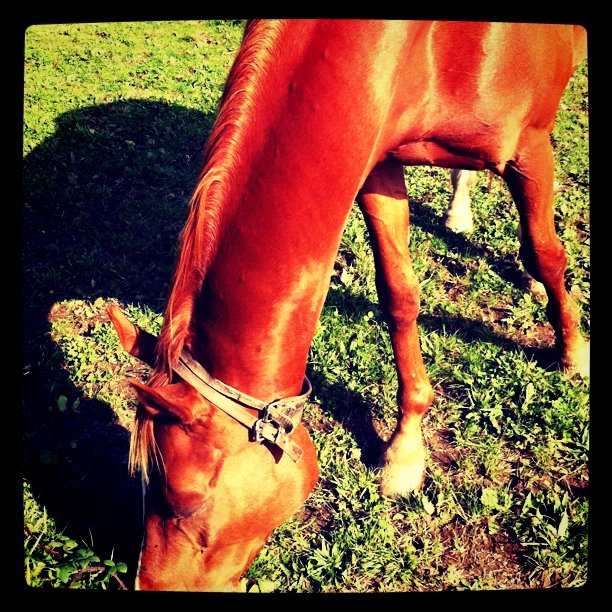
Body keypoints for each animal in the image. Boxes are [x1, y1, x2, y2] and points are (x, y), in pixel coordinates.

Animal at [107, 19, 589, 591]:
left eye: (185, 501)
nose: (146, 584)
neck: (430, 41)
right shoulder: (379, 163)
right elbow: (398, 294)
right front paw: (406, 450)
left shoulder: (528, 147)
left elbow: (546, 253)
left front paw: (573, 352)